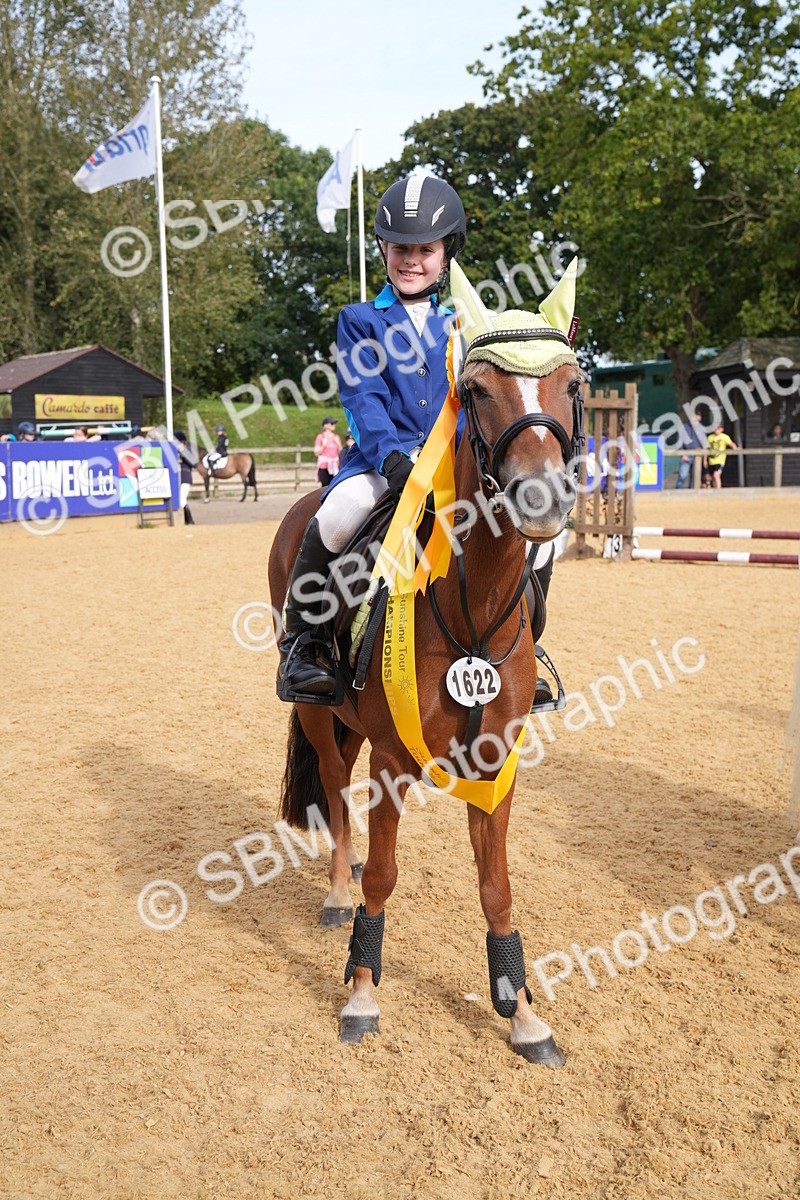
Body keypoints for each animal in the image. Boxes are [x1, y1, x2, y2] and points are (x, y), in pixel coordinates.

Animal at [268, 264, 583, 1066]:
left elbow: (497, 887)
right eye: (473, 390)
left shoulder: (497, 759)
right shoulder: (390, 758)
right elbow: (382, 875)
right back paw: (336, 890)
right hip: (316, 711)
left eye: (571, 384)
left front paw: (521, 1013)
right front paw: (361, 992)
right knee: (335, 792)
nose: (540, 496)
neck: (472, 605)